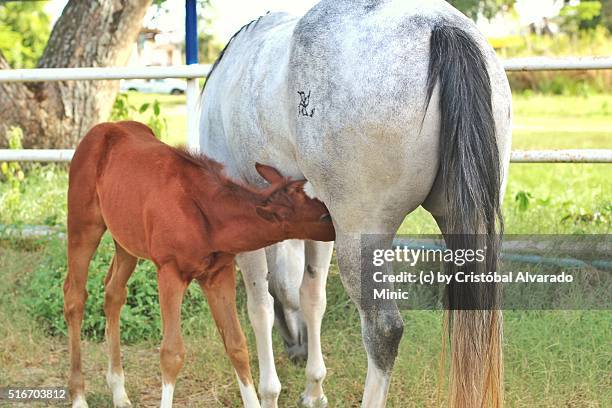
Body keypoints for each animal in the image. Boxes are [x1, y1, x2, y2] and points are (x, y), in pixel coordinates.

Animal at [63, 121, 334, 408]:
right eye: (323, 216)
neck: (207, 215)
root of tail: (102, 128)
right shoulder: (169, 272)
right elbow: (171, 353)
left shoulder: (218, 274)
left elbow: (236, 344)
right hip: (83, 225)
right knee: (75, 296)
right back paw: (79, 396)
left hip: (125, 240)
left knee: (114, 292)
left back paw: (118, 391)